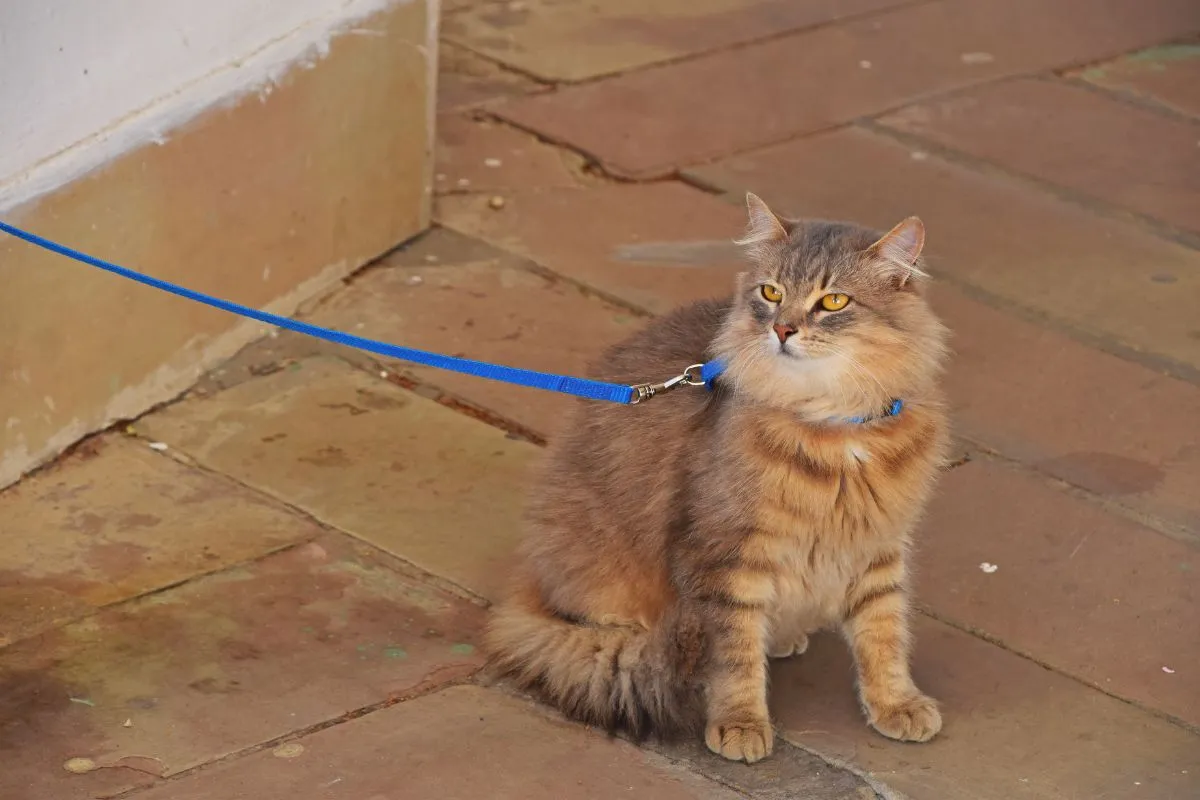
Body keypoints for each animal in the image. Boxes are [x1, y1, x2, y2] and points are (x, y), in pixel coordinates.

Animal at [482, 194, 950, 762]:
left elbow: (884, 633)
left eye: (834, 301)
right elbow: (735, 657)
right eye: (771, 293)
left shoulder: (878, 545)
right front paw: (741, 724)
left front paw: (897, 704)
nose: (783, 330)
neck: (833, 423)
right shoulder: (726, 560)